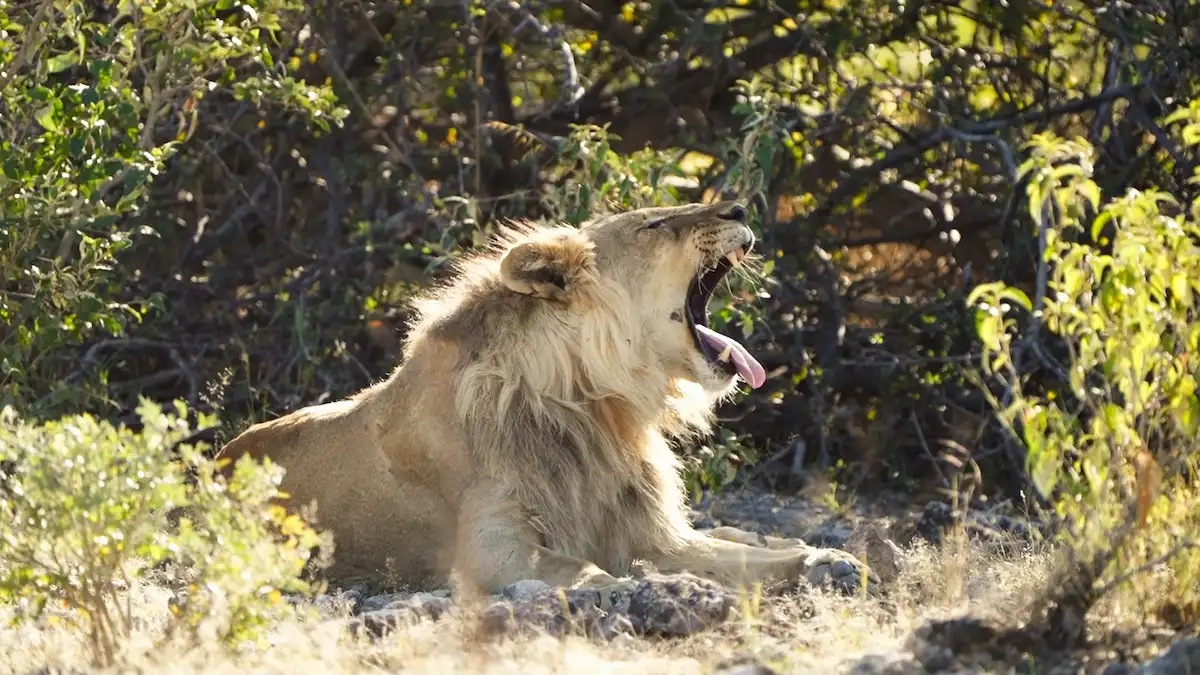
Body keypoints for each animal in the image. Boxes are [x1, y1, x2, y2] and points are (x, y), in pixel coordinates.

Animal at [214, 200, 876, 597]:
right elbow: (576, 567)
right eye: (654, 224)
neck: (591, 406)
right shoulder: (487, 551)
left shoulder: (649, 532)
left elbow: (731, 556)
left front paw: (824, 560)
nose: (739, 206)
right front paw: (632, 589)